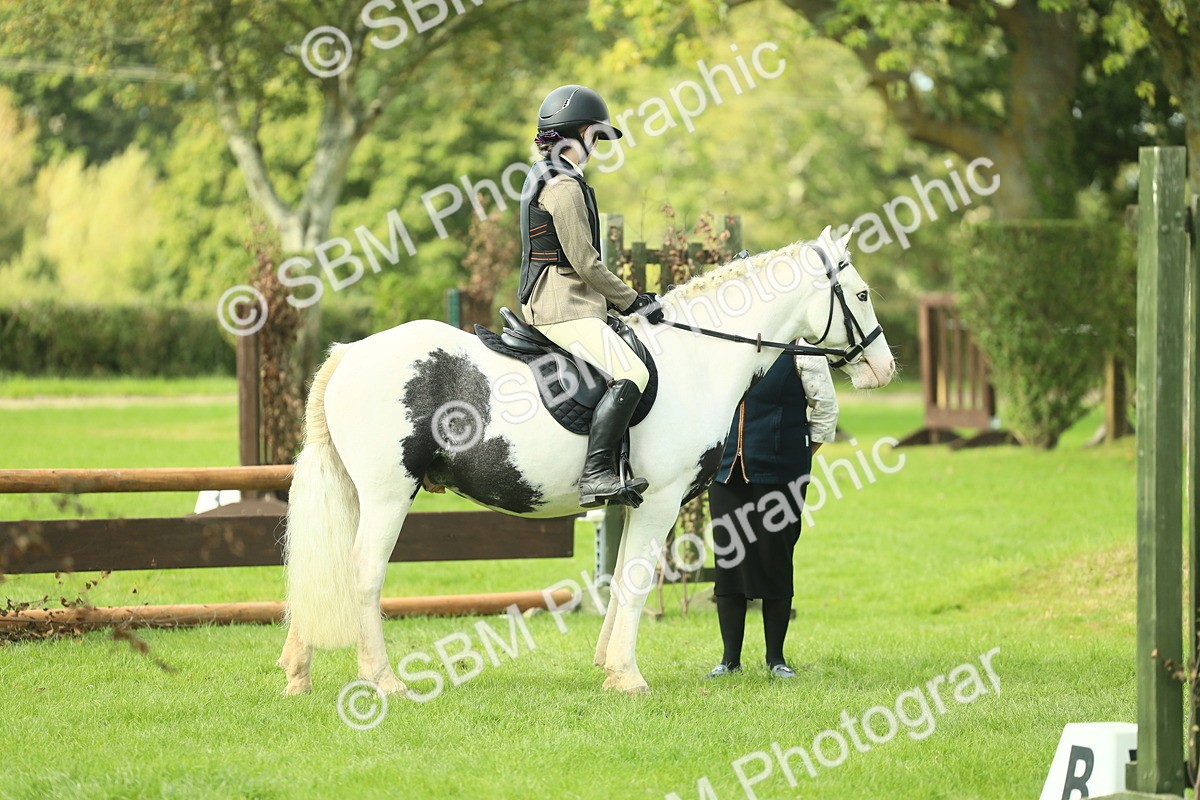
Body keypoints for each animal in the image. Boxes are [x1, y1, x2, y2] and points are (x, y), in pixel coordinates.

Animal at [277, 226, 895, 697]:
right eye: (862, 295)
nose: (885, 369)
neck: (697, 355)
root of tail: (351, 353)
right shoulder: (660, 501)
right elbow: (639, 581)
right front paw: (627, 676)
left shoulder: (637, 502)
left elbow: (621, 578)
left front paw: (606, 665)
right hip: (386, 496)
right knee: (362, 573)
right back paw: (384, 681)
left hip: (356, 494)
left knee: (322, 569)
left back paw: (298, 672)